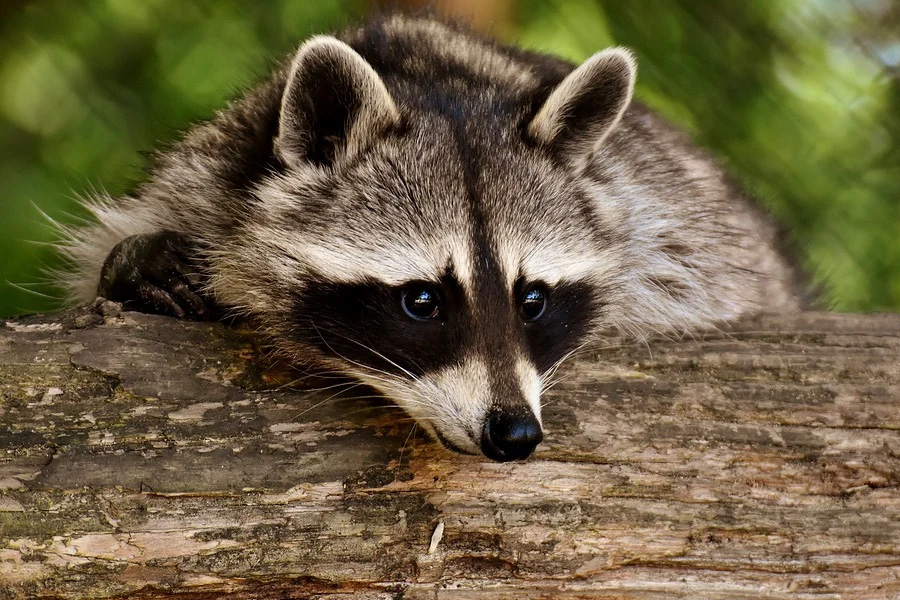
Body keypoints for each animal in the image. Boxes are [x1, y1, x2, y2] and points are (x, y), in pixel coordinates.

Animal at [58, 15, 804, 462]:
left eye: (532, 299)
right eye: (422, 301)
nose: (515, 434)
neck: (433, 79)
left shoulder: (667, 221)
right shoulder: (203, 175)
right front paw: (138, 264)